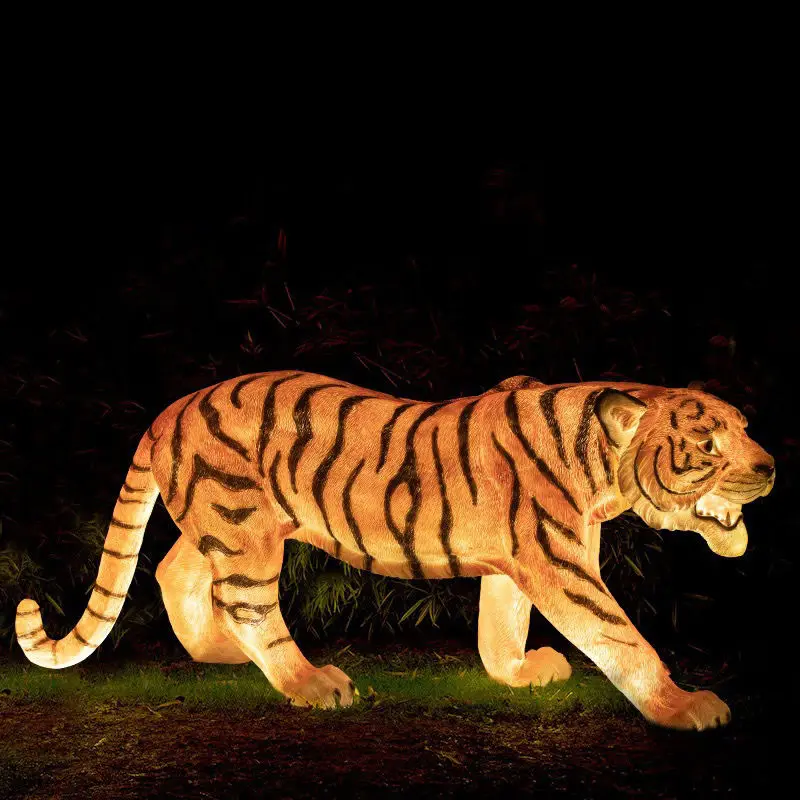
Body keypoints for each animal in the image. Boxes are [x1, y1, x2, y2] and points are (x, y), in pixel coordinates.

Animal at [15, 371, 775, 730]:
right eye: (708, 444)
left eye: (745, 427)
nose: (769, 468)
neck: (601, 467)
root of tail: (166, 411)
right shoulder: (559, 561)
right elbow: (622, 638)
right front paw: (683, 707)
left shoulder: (521, 560)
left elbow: (502, 623)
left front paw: (520, 672)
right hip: (243, 527)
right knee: (249, 606)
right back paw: (311, 684)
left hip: (226, 521)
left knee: (176, 572)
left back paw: (224, 655)